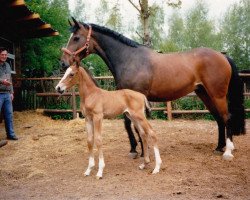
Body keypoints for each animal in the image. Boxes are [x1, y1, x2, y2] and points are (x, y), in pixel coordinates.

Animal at [59, 18, 245, 160]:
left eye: (76, 38)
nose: (63, 62)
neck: (129, 59)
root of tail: (223, 56)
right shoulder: (127, 101)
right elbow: (128, 125)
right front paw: (135, 150)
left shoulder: (136, 101)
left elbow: (136, 126)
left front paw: (141, 151)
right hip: (204, 94)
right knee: (219, 119)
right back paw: (219, 147)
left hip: (217, 95)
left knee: (226, 117)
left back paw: (228, 152)